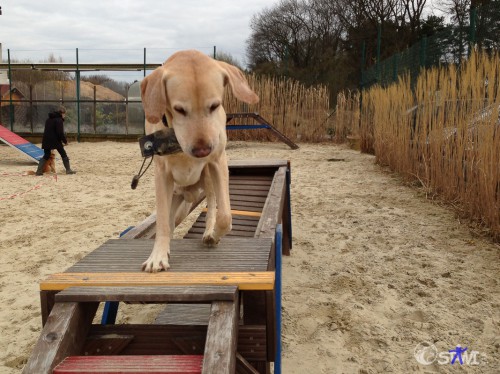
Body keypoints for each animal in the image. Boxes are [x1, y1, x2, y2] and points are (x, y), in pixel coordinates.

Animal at [140, 49, 258, 272]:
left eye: (214, 106)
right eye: (179, 109)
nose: (202, 150)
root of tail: (189, 193)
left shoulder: (217, 163)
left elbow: (225, 216)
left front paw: (214, 235)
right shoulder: (162, 175)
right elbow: (162, 223)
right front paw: (158, 256)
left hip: (208, 179)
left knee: (211, 204)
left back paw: (209, 231)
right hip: (177, 201)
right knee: (170, 222)